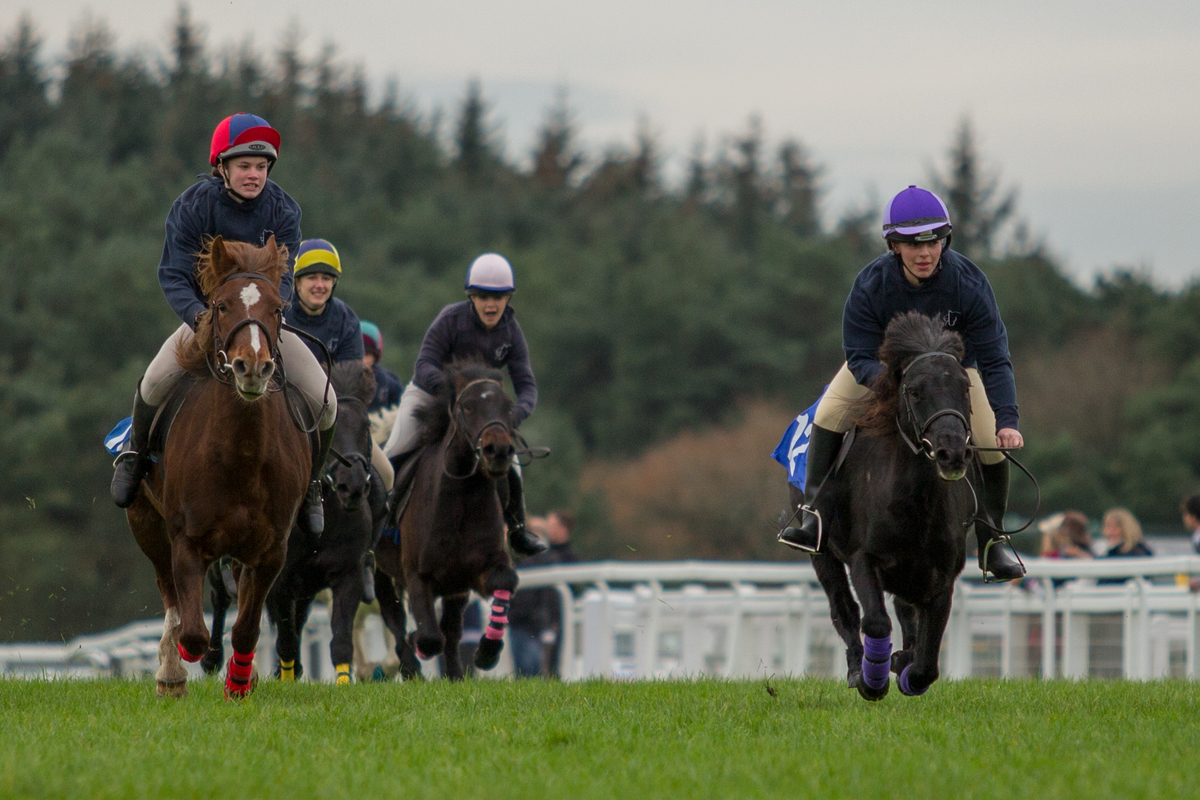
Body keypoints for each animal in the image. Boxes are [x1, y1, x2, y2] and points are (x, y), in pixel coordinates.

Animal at [126, 235, 309, 695]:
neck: (241, 454)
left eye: (277, 308)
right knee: (169, 594)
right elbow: (192, 629)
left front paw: (239, 681)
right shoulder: (186, 541)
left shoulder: (271, 550)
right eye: (222, 305)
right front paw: (188, 659)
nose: (253, 366)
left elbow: (246, 627)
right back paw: (171, 673)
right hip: (145, 523)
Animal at [199, 362, 381, 681]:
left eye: (366, 426)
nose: (353, 487)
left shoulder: (348, 574)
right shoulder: (281, 581)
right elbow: (285, 640)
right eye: (333, 430)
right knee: (220, 596)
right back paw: (212, 659)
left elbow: (340, 641)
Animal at [376, 362, 518, 681]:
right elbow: (429, 636)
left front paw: (487, 652)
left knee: (451, 631)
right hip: (377, 567)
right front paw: (417, 644)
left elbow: (505, 580)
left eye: (507, 405)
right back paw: (410, 667)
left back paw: (454, 674)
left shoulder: (475, 571)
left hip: (455, 587)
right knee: (393, 615)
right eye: (468, 406)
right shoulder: (417, 574)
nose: (499, 451)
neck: (462, 498)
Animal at [796, 311, 974, 700]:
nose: (951, 451)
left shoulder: (941, 577)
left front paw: (905, 665)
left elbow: (927, 663)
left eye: (965, 387)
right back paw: (857, 667)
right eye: (915, 391)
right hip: (823, 554)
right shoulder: (864, 558)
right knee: (843, 609)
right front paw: (871, 679)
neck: (916, 504)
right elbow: (874, 621)